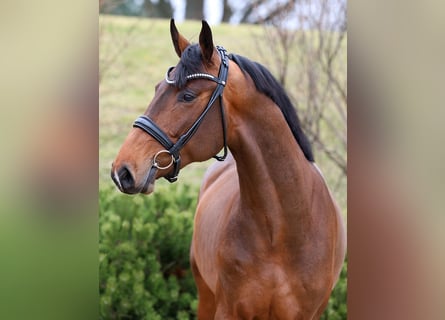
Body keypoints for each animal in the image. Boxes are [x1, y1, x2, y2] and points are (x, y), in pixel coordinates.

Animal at [109, 20, 346, 320]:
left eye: (188, 96)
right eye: (156, 89)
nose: (122, 170)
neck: (284, 230)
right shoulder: (228, 310)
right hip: (205, 295)